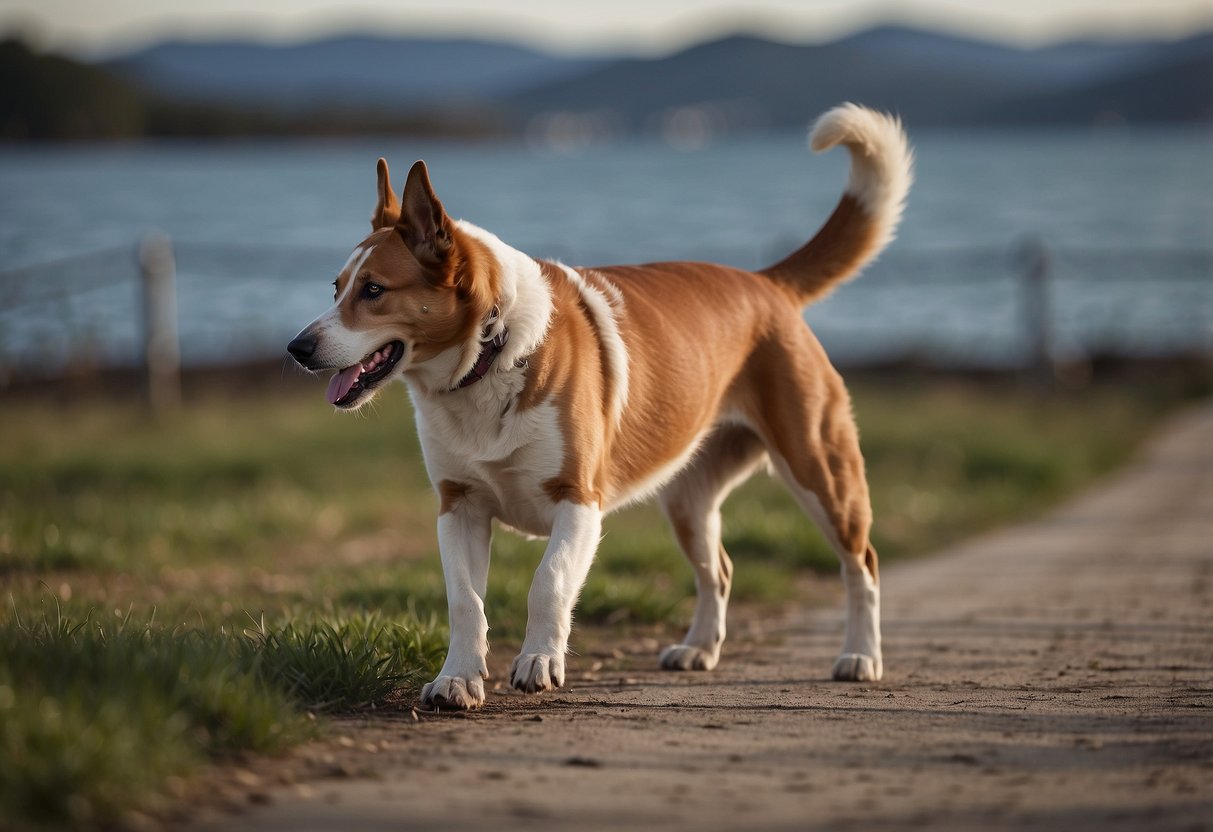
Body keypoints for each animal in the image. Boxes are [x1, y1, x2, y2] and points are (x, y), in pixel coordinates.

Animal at [283, 101, 912, 708]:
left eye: (374, 291)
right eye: (335, 289)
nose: (297, 348)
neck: (489, 356)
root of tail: (767, 284)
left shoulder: (579, 500)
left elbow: (549, 582)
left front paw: (539, 662)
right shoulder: (458, 505)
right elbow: (465, 603)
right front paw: (457, 680)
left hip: (819, 471)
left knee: (863, 564)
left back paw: (861, 657)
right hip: (687, 500)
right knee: (720, 570)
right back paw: (698, 648)